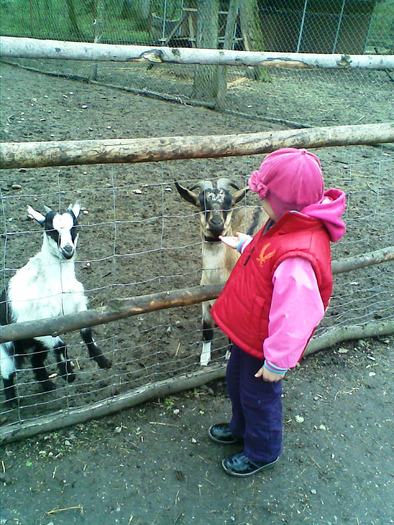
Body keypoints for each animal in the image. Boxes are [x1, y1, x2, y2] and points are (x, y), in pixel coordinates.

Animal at [0, 203, 111, 404]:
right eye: (51, 230)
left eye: (74, 228)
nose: (67, 250)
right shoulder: (43, 324)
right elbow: (61, 345)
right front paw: (68, 373)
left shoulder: (76, 307)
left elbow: (87, 331)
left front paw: (102, 360)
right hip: (8, 344)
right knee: (8, 371)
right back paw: (12, 402)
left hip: (33, 341)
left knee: (36, 360)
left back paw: (47, 385)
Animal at [176, 176, 266, 364]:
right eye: (201, 204)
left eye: (229, 204)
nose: (216, 224)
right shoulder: (204, 304)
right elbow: (207, 331)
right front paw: (204, 360)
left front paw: (229, 354)